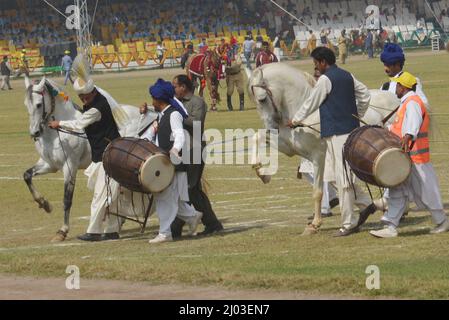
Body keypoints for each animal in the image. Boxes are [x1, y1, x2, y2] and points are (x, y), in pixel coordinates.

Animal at [24, 76, 156, 241]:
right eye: (26, 104)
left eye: (39, 104)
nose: (34, 133)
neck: (56, 134)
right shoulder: (49, 165)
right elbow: (27, 175)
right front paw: (44, 204)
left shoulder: (69, 167)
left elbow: (67, 199)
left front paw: (62, 231)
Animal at [248, 62, 400, 234]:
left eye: (262, 99)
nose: (270, 128)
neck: (304, 114)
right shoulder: (289, 148)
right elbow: (256, 138)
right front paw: (262, 173)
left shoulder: (318, 158)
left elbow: (318, 192)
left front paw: (315, 224)